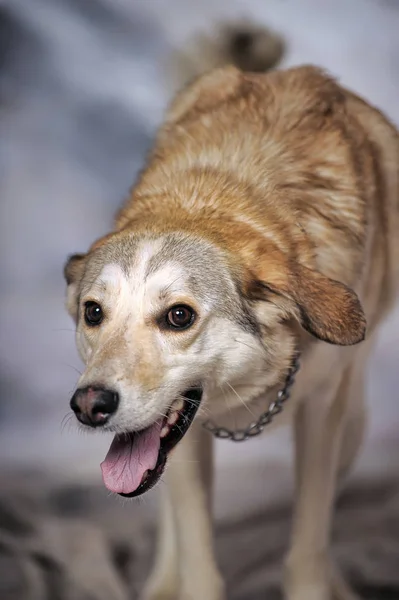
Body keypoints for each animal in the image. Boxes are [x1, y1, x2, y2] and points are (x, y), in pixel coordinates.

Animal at [65, 21, 399, 600]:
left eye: (179, 316)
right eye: (93, 313)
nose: (90, 405)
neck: (213, 197)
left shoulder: (322, 417)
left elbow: (309, 544)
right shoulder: (182, 443)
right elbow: (196, 551)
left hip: (354, 420)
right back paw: (160, 583)